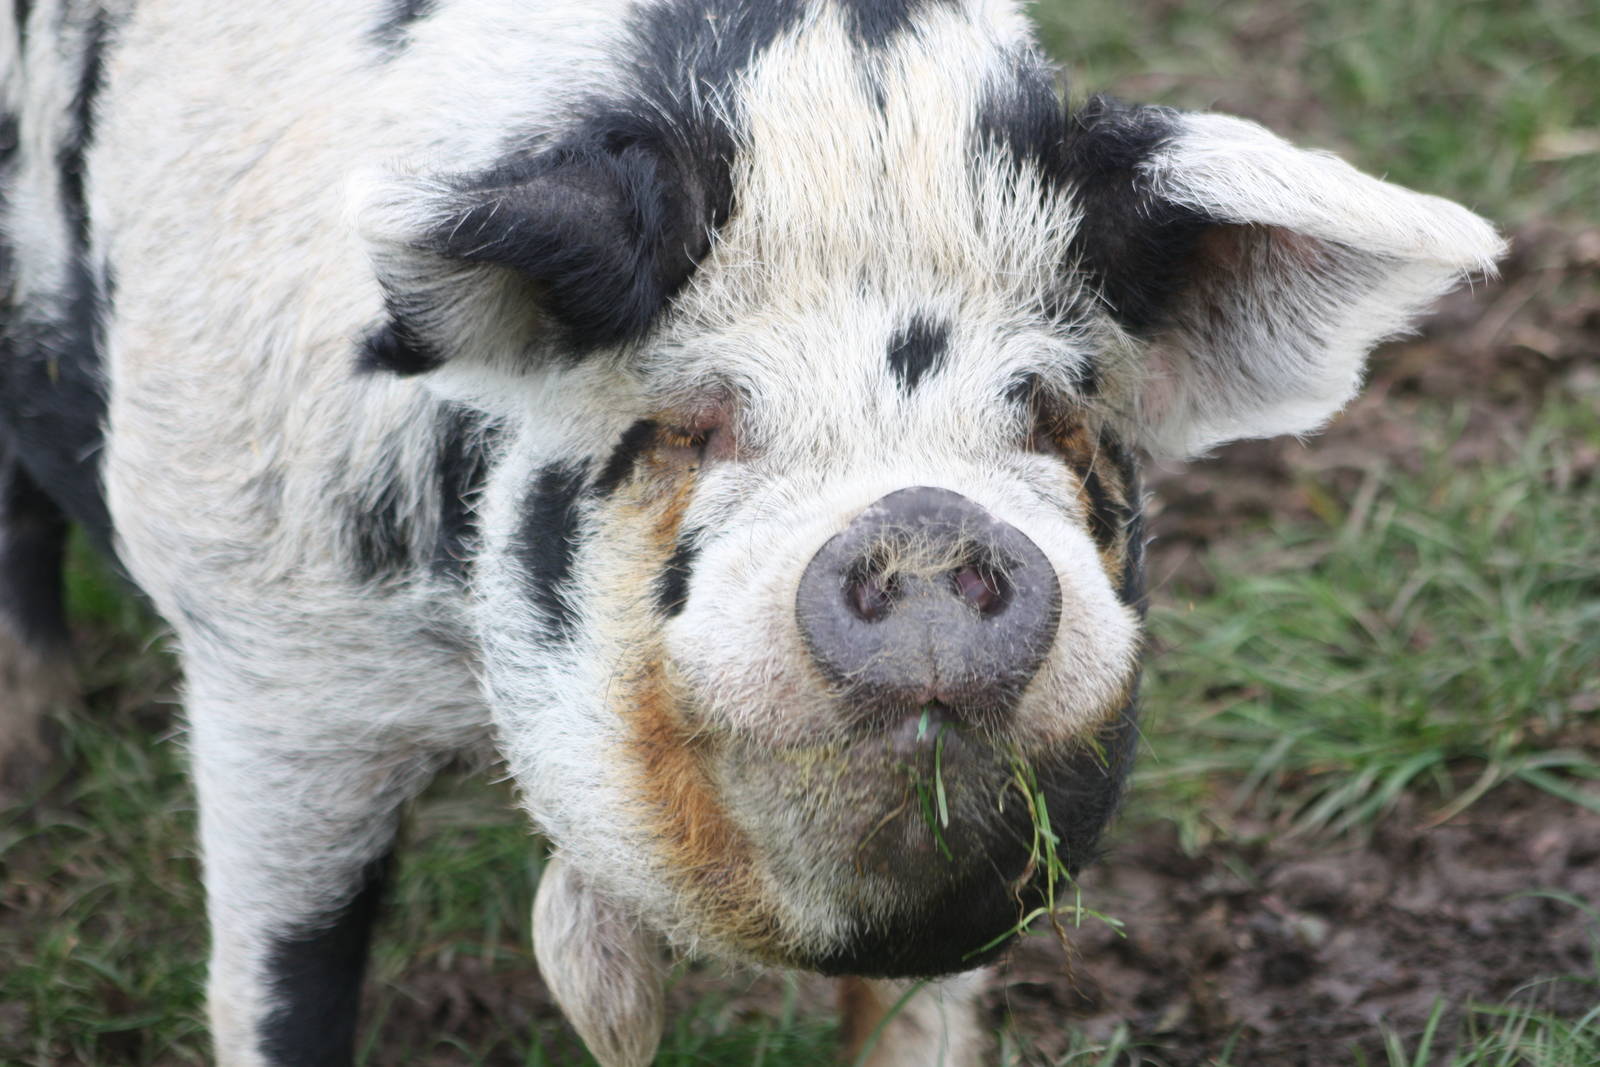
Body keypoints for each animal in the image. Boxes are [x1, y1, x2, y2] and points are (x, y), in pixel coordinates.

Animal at [0, 0, 1502, 1063]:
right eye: (695, 419)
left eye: (1051, 409)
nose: (921, 519)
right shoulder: (273, 663)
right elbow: (280, 981)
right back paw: (42, 754)